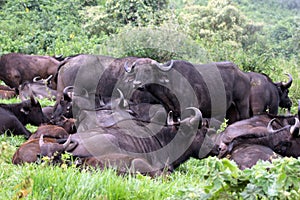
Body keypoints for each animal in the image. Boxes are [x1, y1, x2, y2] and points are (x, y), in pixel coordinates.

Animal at [122, 59, 251, 124]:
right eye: (136, 70)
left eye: (148, 70)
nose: (137, 84)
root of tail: (244, 76)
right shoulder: (171, 112)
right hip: (230, 110)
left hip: (242, 105)